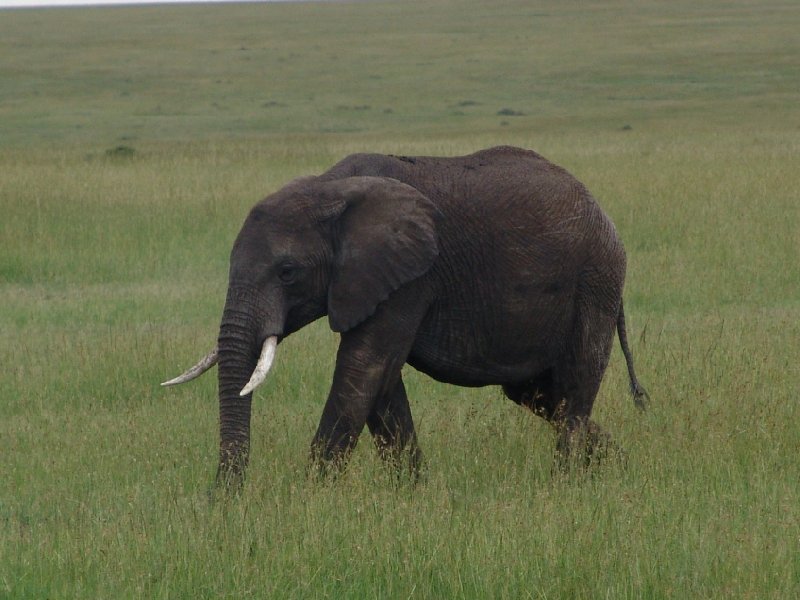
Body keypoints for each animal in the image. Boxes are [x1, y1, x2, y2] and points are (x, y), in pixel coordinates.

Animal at [162, 146, 648, 488]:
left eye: (287, 272)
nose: (222, 500)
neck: (329, 188)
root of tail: (603, 212)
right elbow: (381, 382)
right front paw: (413, 492)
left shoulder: (411, 276)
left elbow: (363, 368)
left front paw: (310, 497)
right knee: (537, 393)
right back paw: (619, 467)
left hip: (596, 279)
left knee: (575, 382)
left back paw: (566, 483)